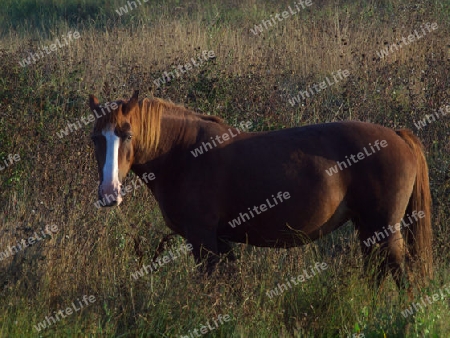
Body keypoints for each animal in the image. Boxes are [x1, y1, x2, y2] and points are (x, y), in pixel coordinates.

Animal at [89, 90, 432, 290]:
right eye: (95, 138)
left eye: (128, 135)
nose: (109, 192)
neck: (182, 153)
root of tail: (397, 135)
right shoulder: (220, 241)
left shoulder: (202, 239)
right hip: (367, 229)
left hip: (384, 228)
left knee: (399, 274)